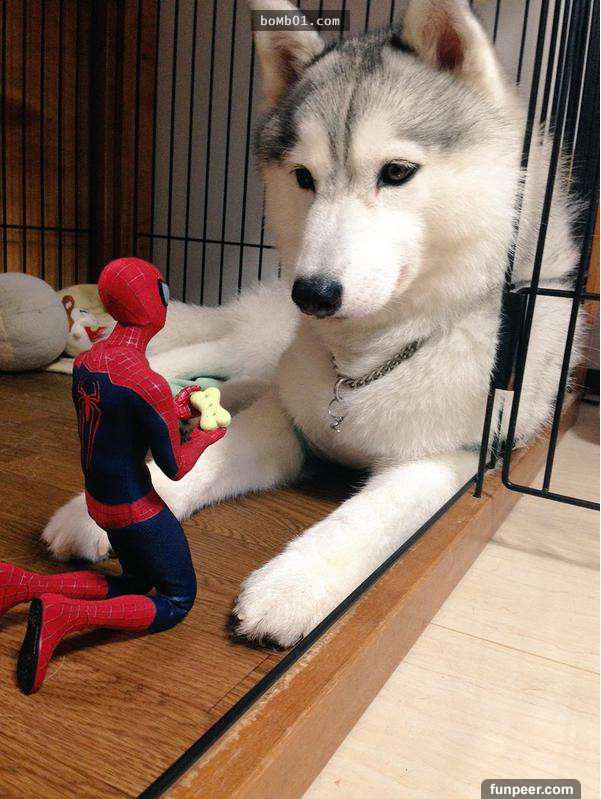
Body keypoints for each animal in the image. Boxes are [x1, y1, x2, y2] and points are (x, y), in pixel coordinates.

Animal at [42, 0, 580, 647]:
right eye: (303, 177)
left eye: (397, 172)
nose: (314, 294)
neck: (366, 364)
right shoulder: (286, 421)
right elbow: (203, 464)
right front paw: (95, 511)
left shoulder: (452, 457)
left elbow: (365, 518)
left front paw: (294, 583)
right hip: (264, 341)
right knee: (205, 354)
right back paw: (116, 375)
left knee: (242, 378)